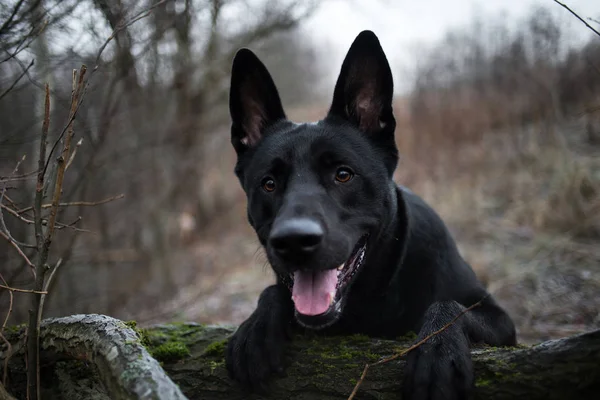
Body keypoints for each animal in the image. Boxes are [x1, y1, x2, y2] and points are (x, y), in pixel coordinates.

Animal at [225, 29, 516, 398]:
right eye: (269, 184)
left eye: (343, 174)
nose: (294, 241)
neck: (369, 298)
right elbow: (272, 291)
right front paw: (256, 327)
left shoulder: (499, 319)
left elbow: (450, 307)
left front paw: (439, 352)